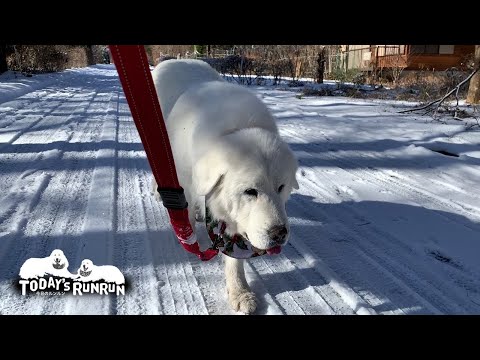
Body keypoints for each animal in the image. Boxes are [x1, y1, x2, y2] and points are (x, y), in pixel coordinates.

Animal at [152, 60, 298, 314]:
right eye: (250, 191)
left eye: (281, 187)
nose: (279, 233)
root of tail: (175, 59)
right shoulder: (186, 182)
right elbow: (186, 215)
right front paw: (188, 239)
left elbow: (233, 256)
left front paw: (239, 291)